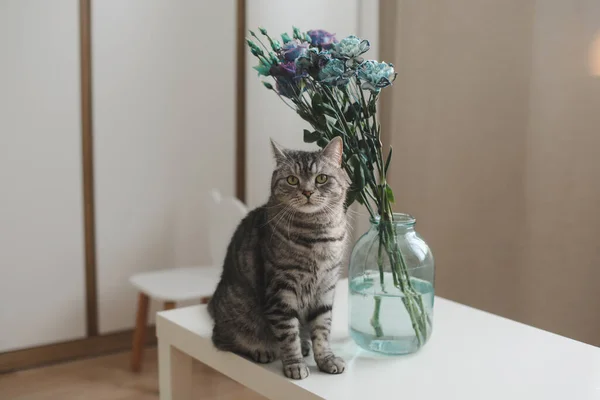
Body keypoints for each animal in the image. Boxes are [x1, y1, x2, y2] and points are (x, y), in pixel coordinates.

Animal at [209, 136, 350, 380]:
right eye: (292, 180)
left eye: (321, 178)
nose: (307, 192)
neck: (317, 235)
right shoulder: (281, 290)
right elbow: (288, 334)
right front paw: (294, 365)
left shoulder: (326, 287)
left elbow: (322, 330)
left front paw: (326, 359)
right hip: (237, 315)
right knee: (225, 341)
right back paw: (262, 350)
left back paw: (305, 345)